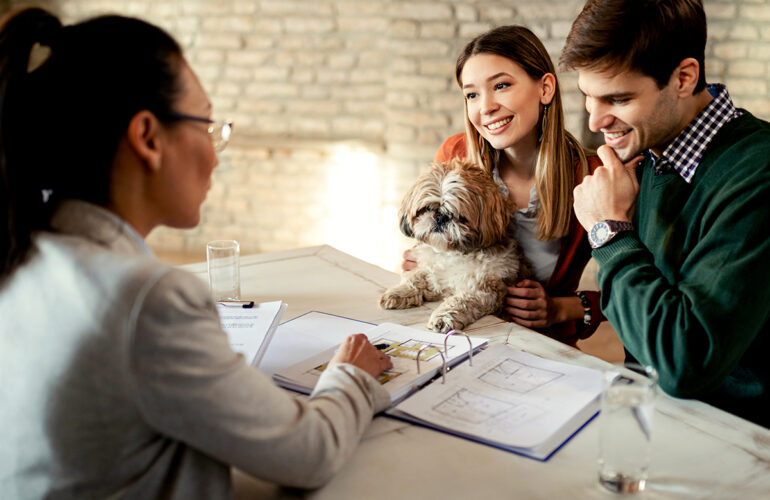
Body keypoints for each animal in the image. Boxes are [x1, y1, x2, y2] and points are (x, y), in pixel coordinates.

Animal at [378, 158, 528, 334]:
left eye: (461, 217)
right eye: (427, 208)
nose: (440, 218)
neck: (451, 253)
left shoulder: (484, 289)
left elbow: (461, 301)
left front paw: (443, 318)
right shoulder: (435, 273)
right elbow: (417, 277)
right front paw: (399, 292)